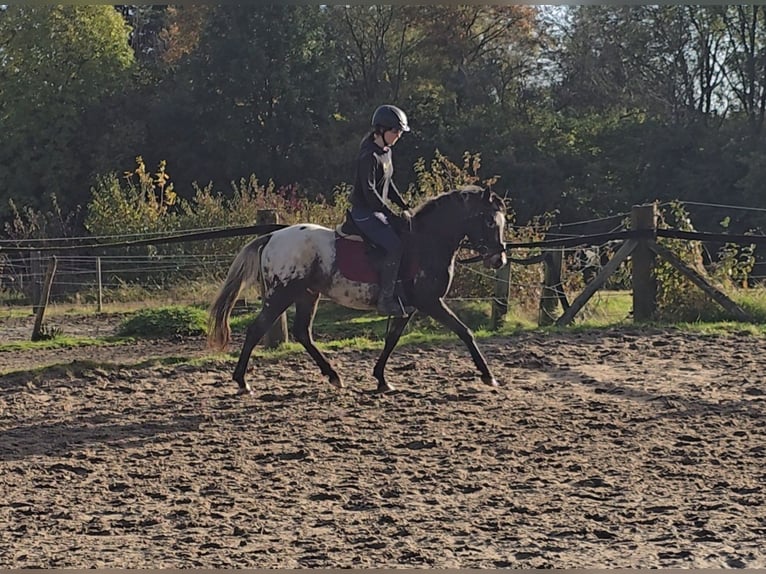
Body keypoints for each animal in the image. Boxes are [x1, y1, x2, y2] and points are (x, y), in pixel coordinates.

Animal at [208, 187, 510, 394]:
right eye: (489, 221)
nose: (499, 259)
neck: (427, 241)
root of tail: (272, 236)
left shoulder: (407, 307)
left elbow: (391, 340)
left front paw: (382, 379)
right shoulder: (429, 302)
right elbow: (464, 331)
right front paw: (488, 376)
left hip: (307, 294)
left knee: (302, 332)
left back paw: (333, 376)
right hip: (281, 294)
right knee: (256, 330)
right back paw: (242, 382)